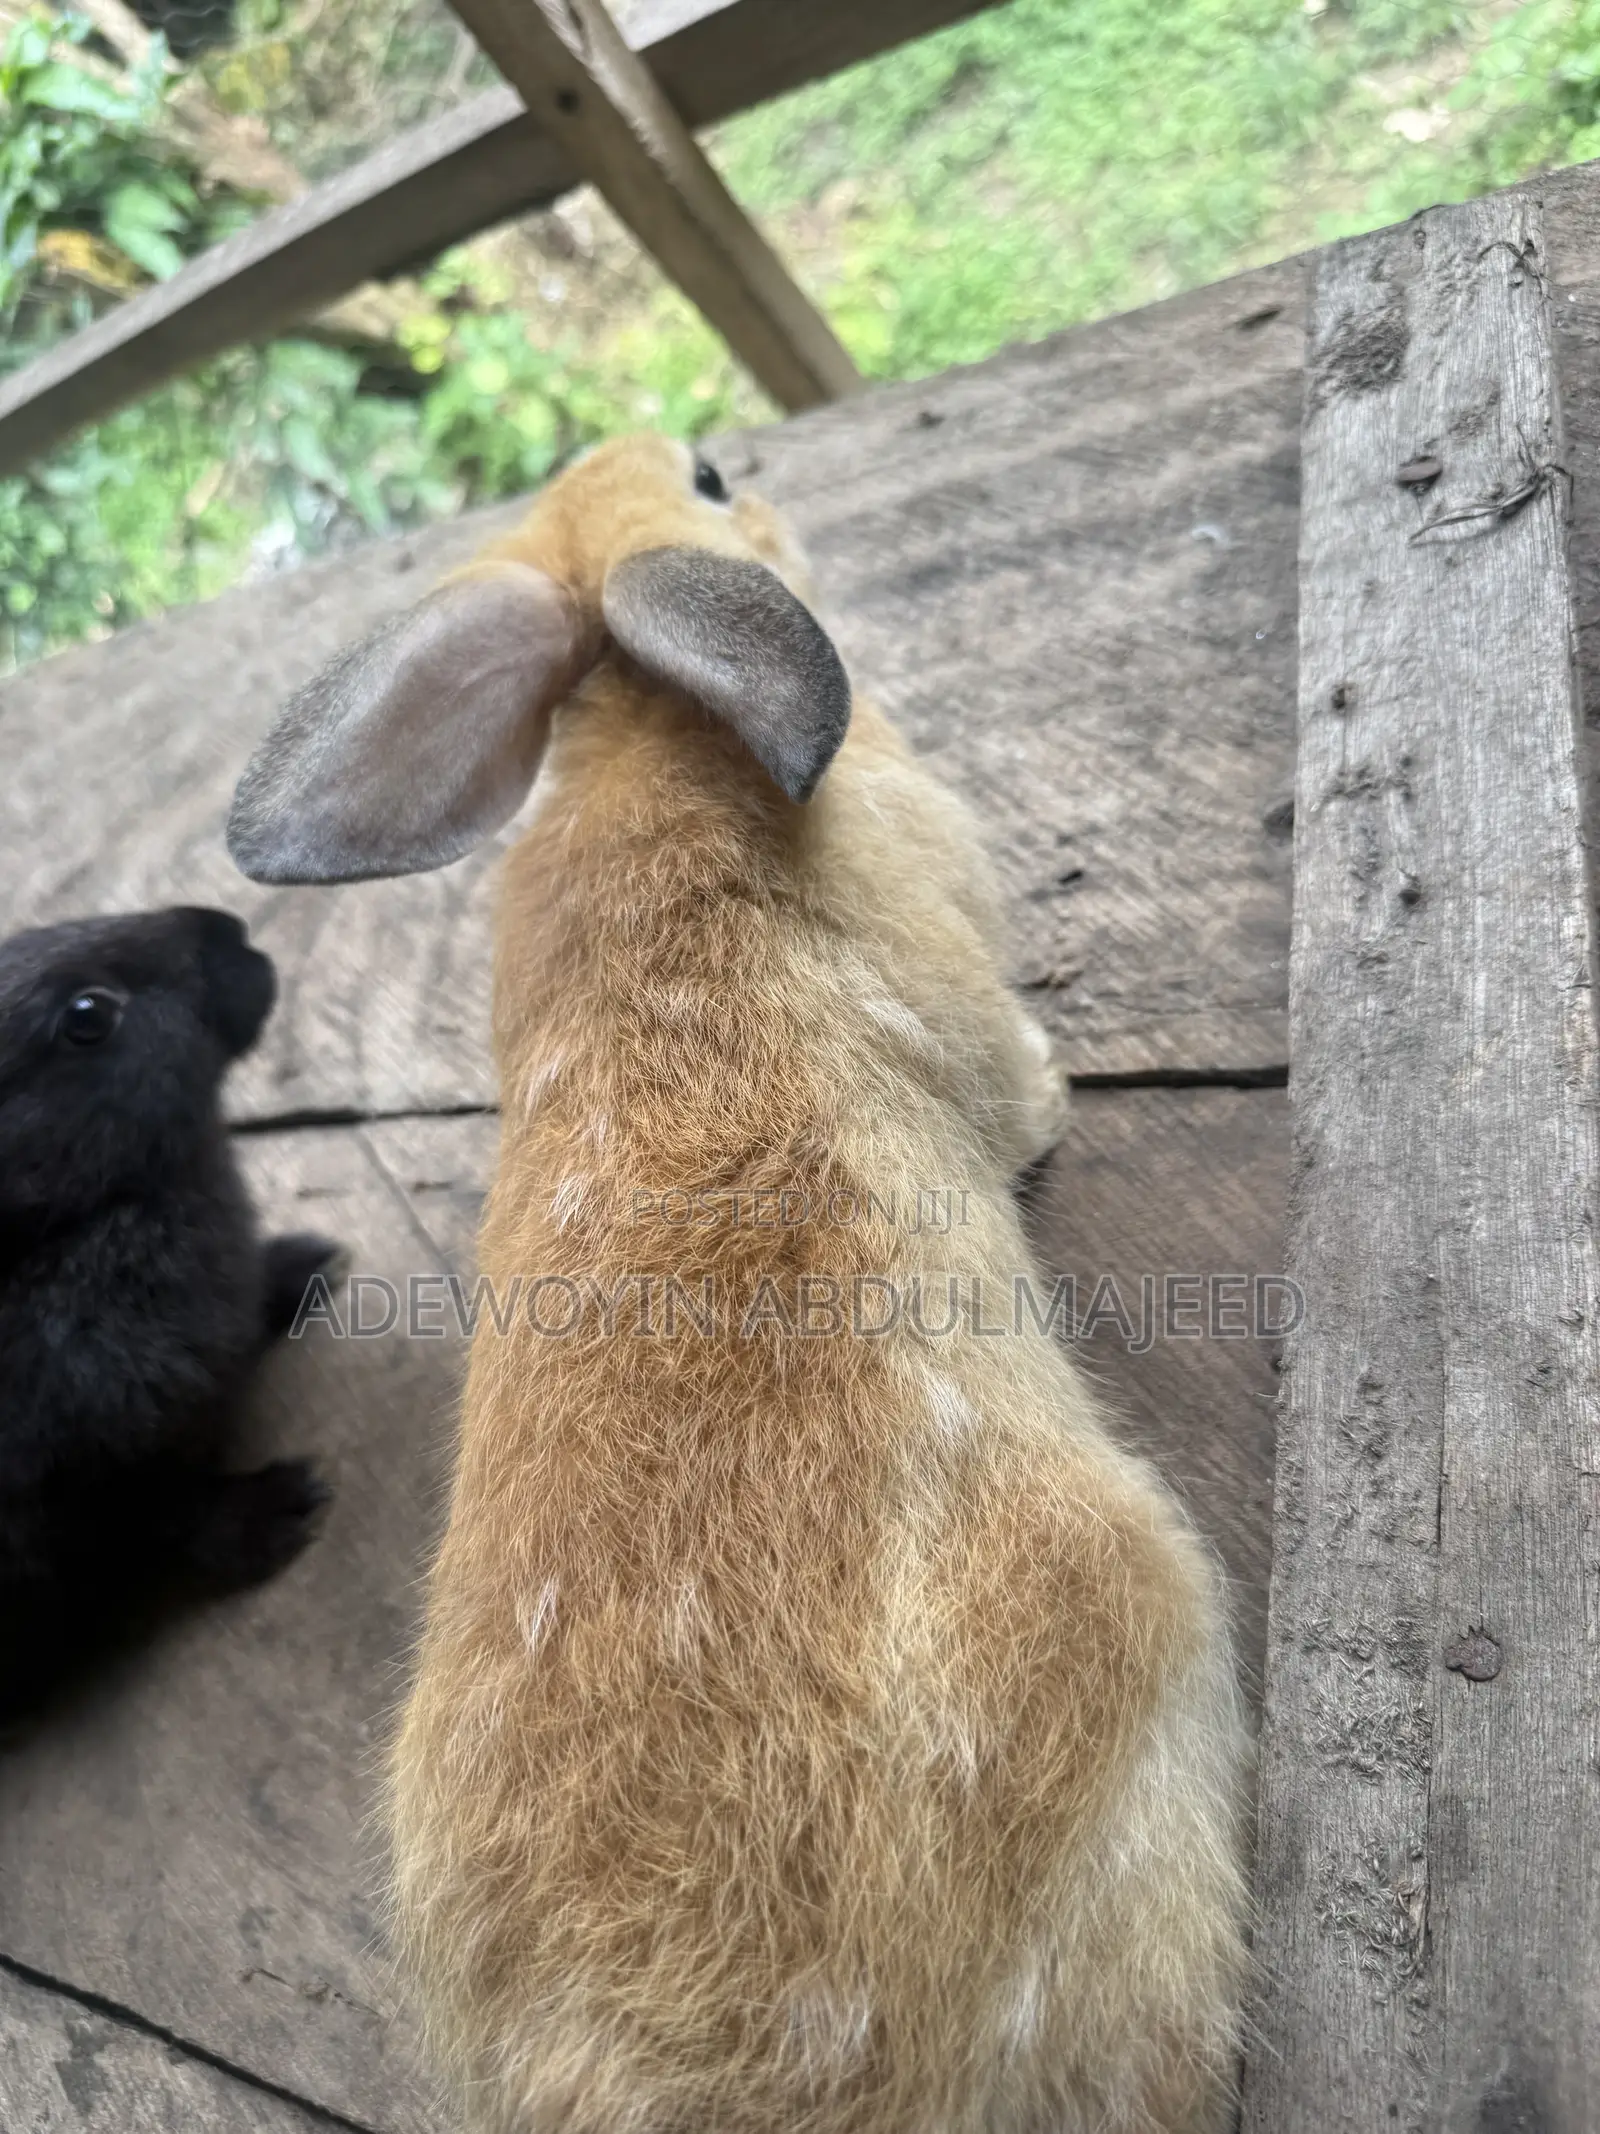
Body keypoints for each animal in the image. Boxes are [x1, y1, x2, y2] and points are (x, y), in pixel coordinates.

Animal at [0, 905, 336, 1724]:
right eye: (87, 1016)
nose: (227, 927)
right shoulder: (89, 1488)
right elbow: (171, 1524)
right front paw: (277, 1512)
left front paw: (299, 1266)